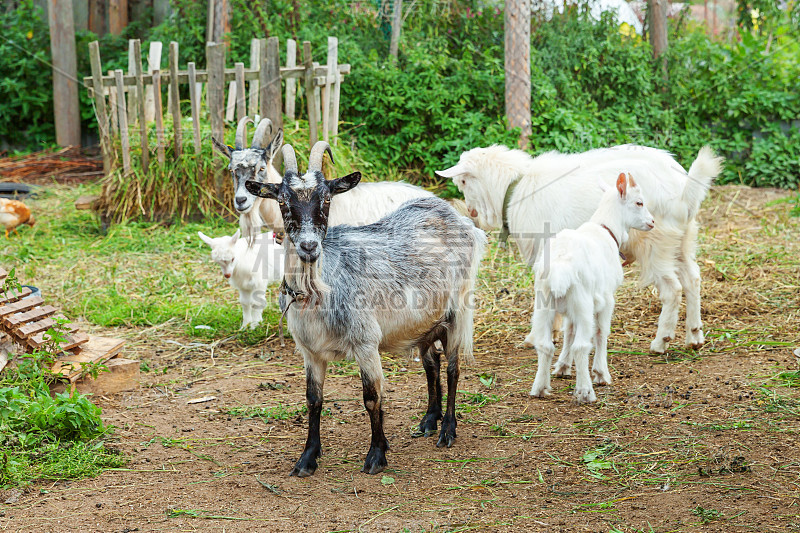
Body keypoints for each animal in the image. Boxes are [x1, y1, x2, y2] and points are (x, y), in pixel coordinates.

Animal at [247, 140, 488, 474]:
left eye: (327, 199)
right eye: (283, 201)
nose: (309, 247)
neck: (319, 293)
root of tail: (457, 217)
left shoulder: (365, 343)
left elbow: (372, 398)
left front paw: (376, 454)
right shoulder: (310, 352)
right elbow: (313, 400)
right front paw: (307, 458)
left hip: (457, 312)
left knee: (453, 368)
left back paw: (447, 430)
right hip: (424, 322)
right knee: (432, 364)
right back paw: (429, 419)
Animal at [438, 143, 724, 356]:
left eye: (463, 181)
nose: (472, 213)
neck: (516, 187)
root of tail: (683, 192)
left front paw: (535, 337)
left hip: (655, 242)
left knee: (672, 289)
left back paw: (660, 341)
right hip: (683, 240)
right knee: (693, 279)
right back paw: (694, 336)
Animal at [528, 172, 652, 402]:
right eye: (639, 202)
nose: (652, 222)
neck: (606, 230)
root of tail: (560, 265)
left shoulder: (568, 309)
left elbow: (569, 330)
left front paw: (562, 367)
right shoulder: (607, 299)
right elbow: (601, 332)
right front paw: (601, 373)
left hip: (544, 301)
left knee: (544, 344)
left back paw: (540, 387)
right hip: (582, 301)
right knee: (582, 345)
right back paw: (585, 391)